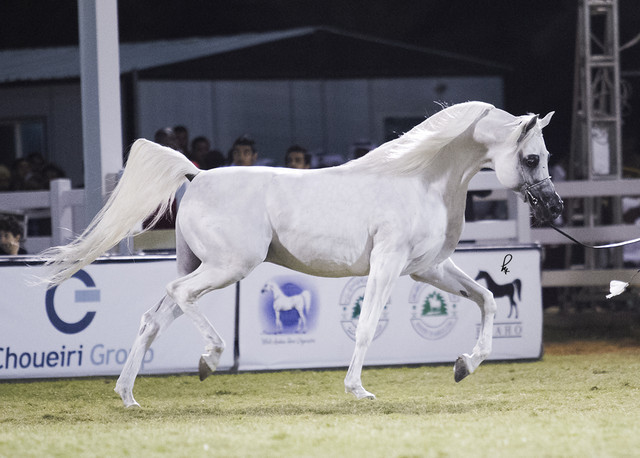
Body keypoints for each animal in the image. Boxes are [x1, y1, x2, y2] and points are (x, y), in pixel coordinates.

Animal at [40, 101, 563, 407]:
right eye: (532, 157)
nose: (555, 206)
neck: (420, 181)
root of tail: (197, 174)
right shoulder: (389, 264)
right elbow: (366, 325)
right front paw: (358, 389)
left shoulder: (428, 269)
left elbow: (487, 300)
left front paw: (464, 366)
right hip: (228, 267)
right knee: (180, 296)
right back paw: (209, 360)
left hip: (201, 264)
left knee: (153, 317)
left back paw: (128, 395)